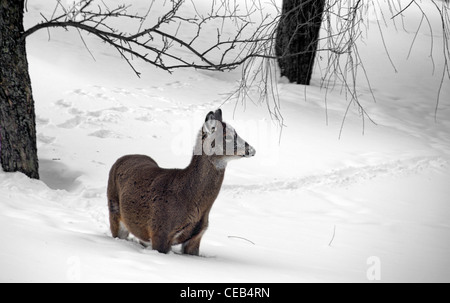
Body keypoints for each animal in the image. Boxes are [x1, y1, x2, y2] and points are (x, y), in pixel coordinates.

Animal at [107, 109, 255, 256]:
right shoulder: (159, 231)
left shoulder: (196, 237)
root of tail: (121, 158)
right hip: (114, 209)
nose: (252, 150)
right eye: (227, 136)